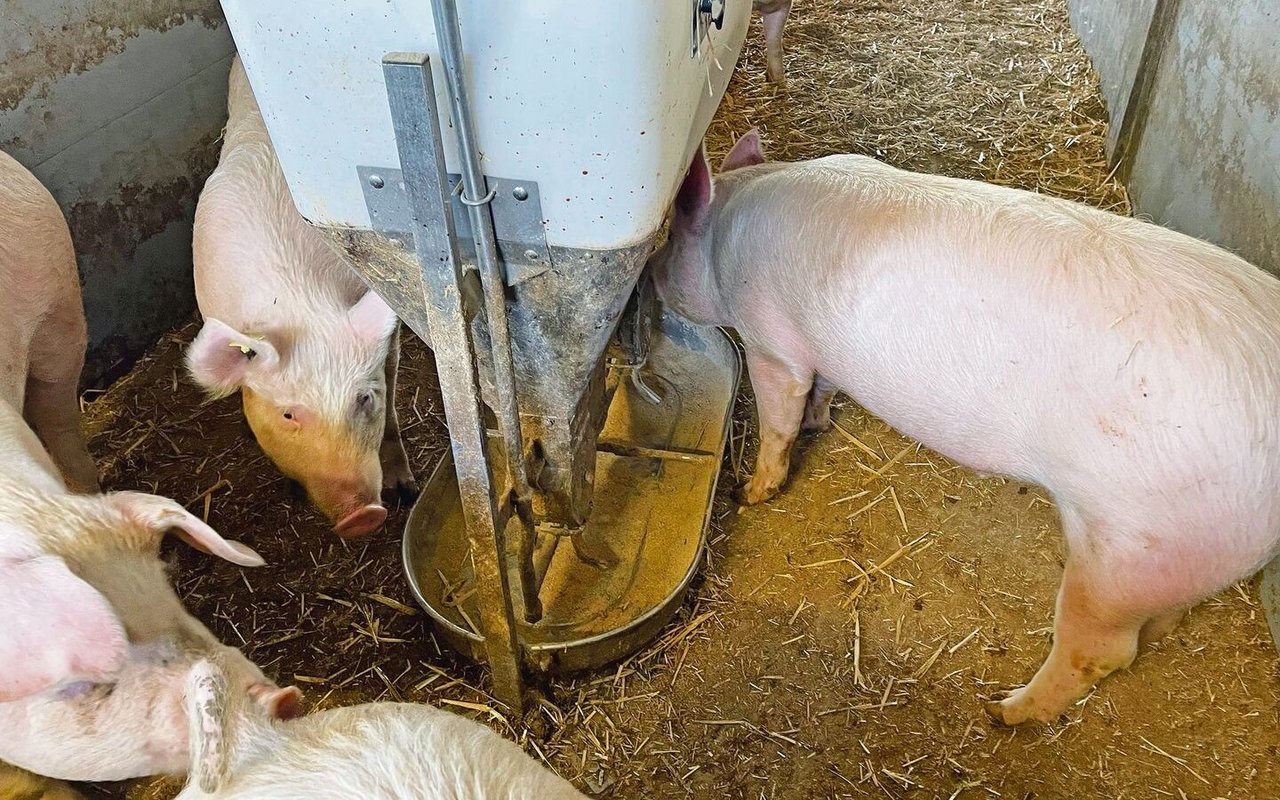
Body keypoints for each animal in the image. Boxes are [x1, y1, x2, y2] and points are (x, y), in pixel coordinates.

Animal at [650, 128, 1280, 721]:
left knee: (1100, 649)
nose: (650, 277)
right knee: (1160, 621)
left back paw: (1004, 711)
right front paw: (818, 425)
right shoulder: (820, 354)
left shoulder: (772, 343)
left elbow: (779, 416)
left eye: (673, 238)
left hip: (1126, 549)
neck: (724, 243)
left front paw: (751, 491)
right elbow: (823, 392)